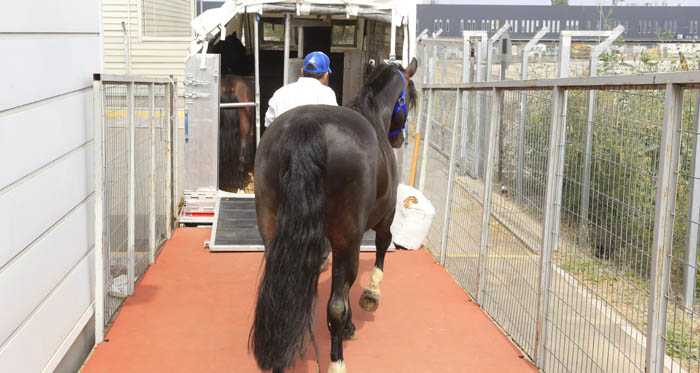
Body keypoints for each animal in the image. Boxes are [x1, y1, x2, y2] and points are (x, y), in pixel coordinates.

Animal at [250, 58, 416, 372]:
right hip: (346, 237)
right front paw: (370, 295)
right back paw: (337, 360)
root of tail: (308, 127)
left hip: (272, 231)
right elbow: (380, 250)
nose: (400, 138)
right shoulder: (383, 218)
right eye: (410, 98)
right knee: (337, 303)